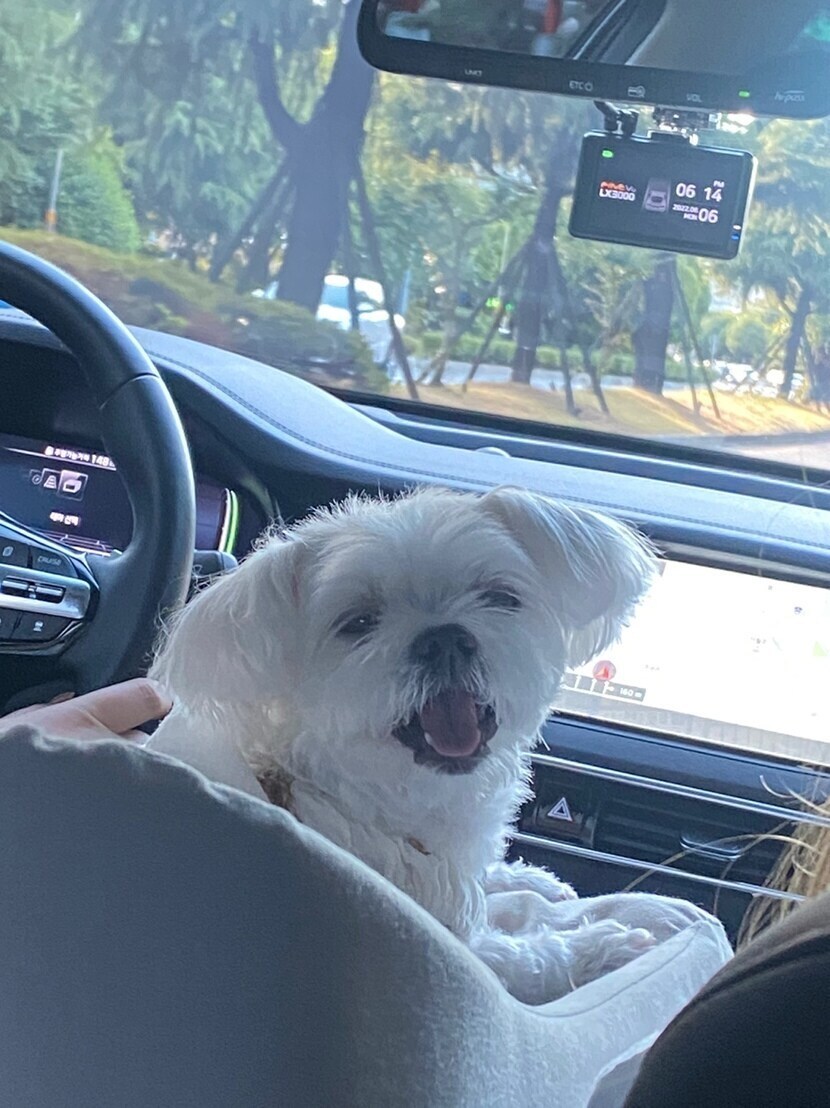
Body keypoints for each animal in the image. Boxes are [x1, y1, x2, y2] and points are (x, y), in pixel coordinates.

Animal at [150, 486, 728, 1005]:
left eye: (500, 597)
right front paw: (603, 949)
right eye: (357, 622)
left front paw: (534, 881)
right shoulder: (452, 947)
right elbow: (526, 960)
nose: (444, 637)